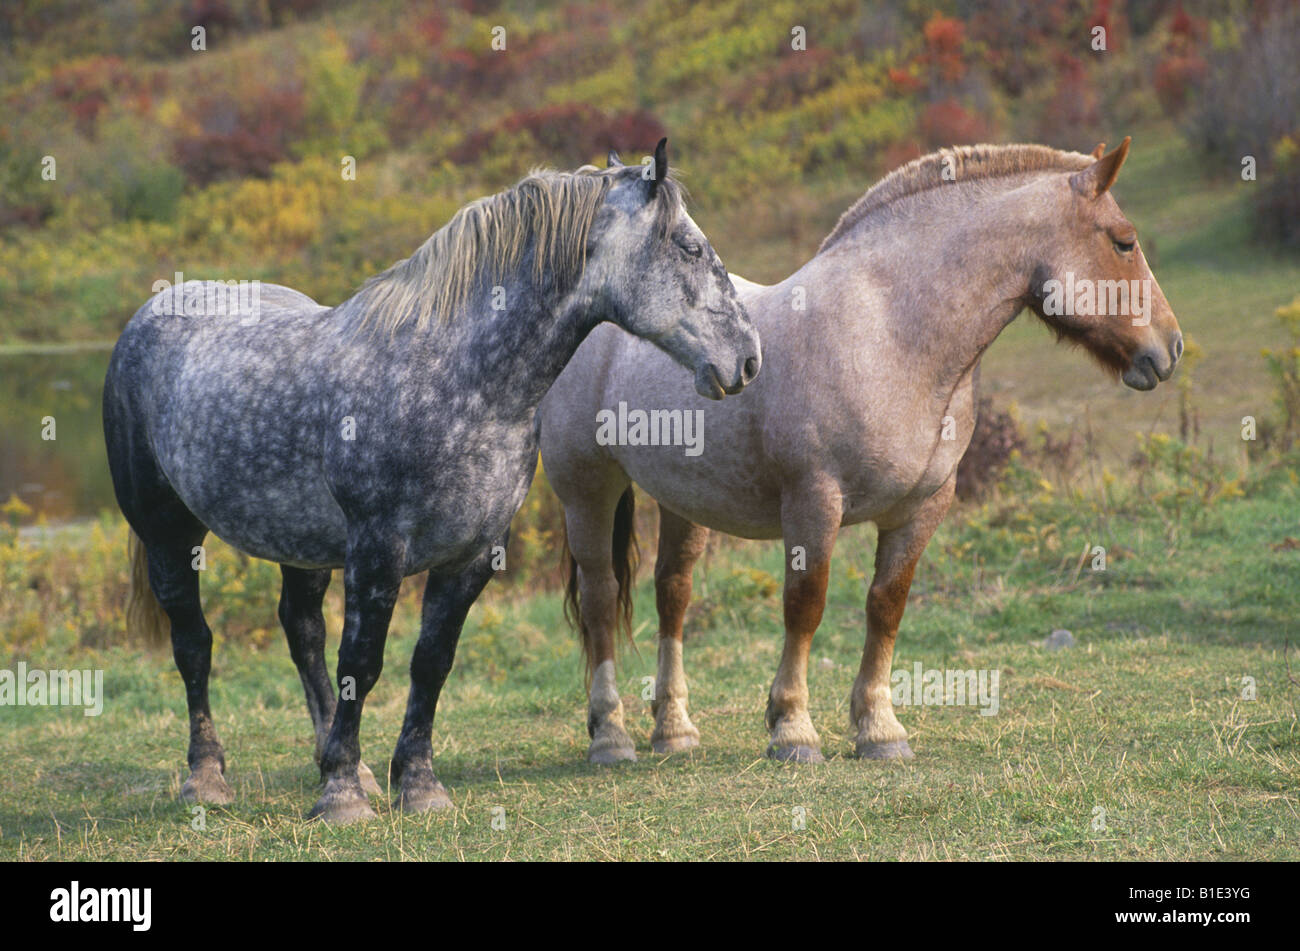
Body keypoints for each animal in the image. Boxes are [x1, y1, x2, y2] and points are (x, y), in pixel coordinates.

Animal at [103, 140, 762, 823]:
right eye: (689, 246)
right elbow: (363, 662)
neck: (454, 378)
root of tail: (150, 314)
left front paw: (413, 785)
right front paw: (340, 797)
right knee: (193, 643)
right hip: (167, 534)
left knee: (302, 632)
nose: (746, 359)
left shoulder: (472, 554)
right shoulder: (377, 550)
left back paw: (349, 765)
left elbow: (431, 662)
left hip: (299, 543)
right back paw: (207, 777)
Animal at [540, 139, 1183, 764]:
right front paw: (793, 730)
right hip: (587, 490)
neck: (890, 335)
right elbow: (805, 606)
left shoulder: (922, 508)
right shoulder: (814, 501)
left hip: (685, 499)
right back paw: (610, 736)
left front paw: (879, 729)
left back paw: (673, 731)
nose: (1170, 347)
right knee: (601, 599)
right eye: (1124, 241)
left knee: (672, 593)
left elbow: (886, 607)